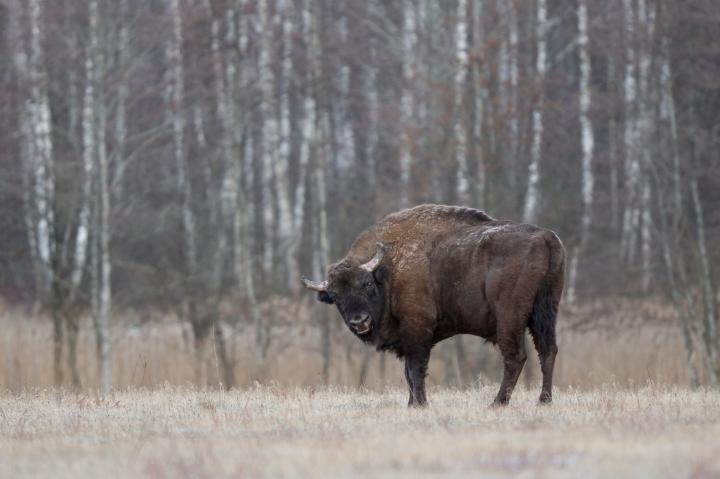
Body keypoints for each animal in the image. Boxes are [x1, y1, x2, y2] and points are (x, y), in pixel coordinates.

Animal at [302, 204, 565, 407]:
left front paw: (420, 404)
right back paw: (544, 400)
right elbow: (408, 373)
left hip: (510, 318)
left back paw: (497, 403)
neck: (390, 268)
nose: (360, 321)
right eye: (334, 296)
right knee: (548, 351)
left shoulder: (417, 331)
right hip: (545, 312)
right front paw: (412, 404)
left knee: (516, 357)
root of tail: (546, 237)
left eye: (366, 284)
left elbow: (415, 370)